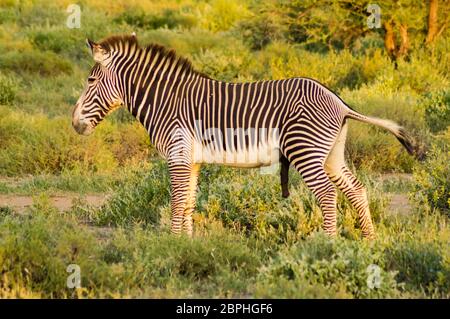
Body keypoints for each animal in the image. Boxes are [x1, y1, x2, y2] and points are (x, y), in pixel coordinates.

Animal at [72, 35, 420, 240]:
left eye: (90, 81)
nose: (75, 124)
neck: (166, 100)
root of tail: (338, 101)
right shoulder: (191, 159)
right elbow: (188, 201)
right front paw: (186, 244)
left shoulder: (177, 154)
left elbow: (176, 200)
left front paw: (171, 243)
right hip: (331, 154)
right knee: (356, 190)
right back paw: (368, 242)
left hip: (305, 150)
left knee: (327, 194)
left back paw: (328, 245)